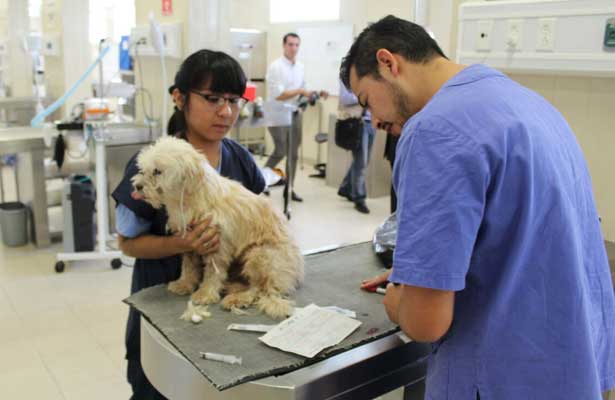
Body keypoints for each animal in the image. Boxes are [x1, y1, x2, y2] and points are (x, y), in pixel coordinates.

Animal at [132, 138, 304, 318]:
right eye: (143, 169)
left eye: (157, 171)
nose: (137, 186)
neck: (188, 199)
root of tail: (294, 274)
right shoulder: (188, 242)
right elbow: (189, 266)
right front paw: (184, 284)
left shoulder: (218, 246)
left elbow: (213, 273)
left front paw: (205, 294)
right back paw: (233, 287)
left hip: (260, 255)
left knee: (260, 289)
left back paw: (237, 298)